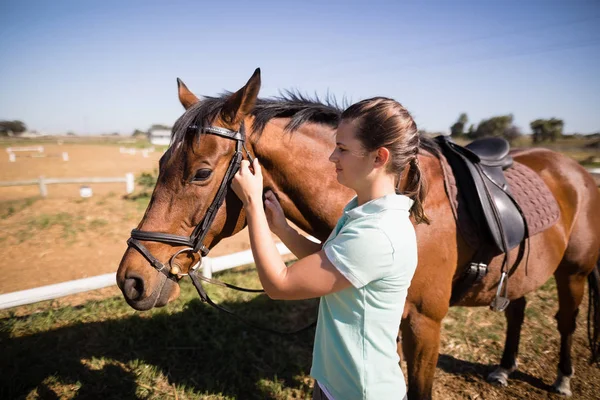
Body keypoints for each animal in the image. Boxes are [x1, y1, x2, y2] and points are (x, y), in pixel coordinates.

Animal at [115, 68, 596, 396]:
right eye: (160, 164)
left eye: (200, 172)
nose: (131, 280)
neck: (409, 211)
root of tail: (576, 171)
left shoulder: (425, 322)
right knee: (517, 309)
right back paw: (504, 367)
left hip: (572, 272)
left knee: (566, 320)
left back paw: (563, 378)